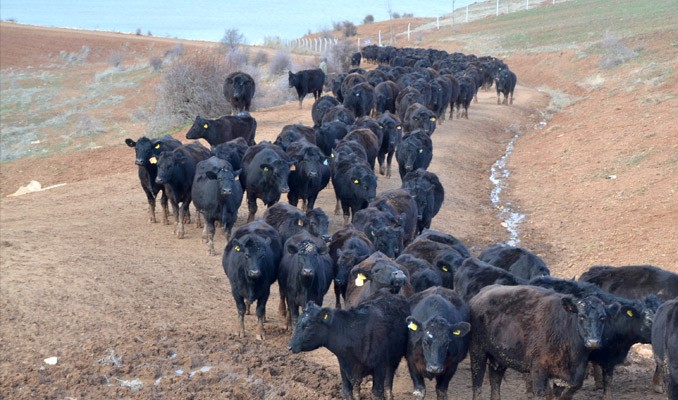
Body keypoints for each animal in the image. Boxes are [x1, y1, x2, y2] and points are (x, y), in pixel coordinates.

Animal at [470, 284, 620, 400]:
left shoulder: (570, 378)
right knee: (477, 384)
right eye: (581, 316)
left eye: (603, 317)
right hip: (478, 352)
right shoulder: (538, 369)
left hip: (498, 357)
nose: (593, 342)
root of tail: (481, 294)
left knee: (495, 380)